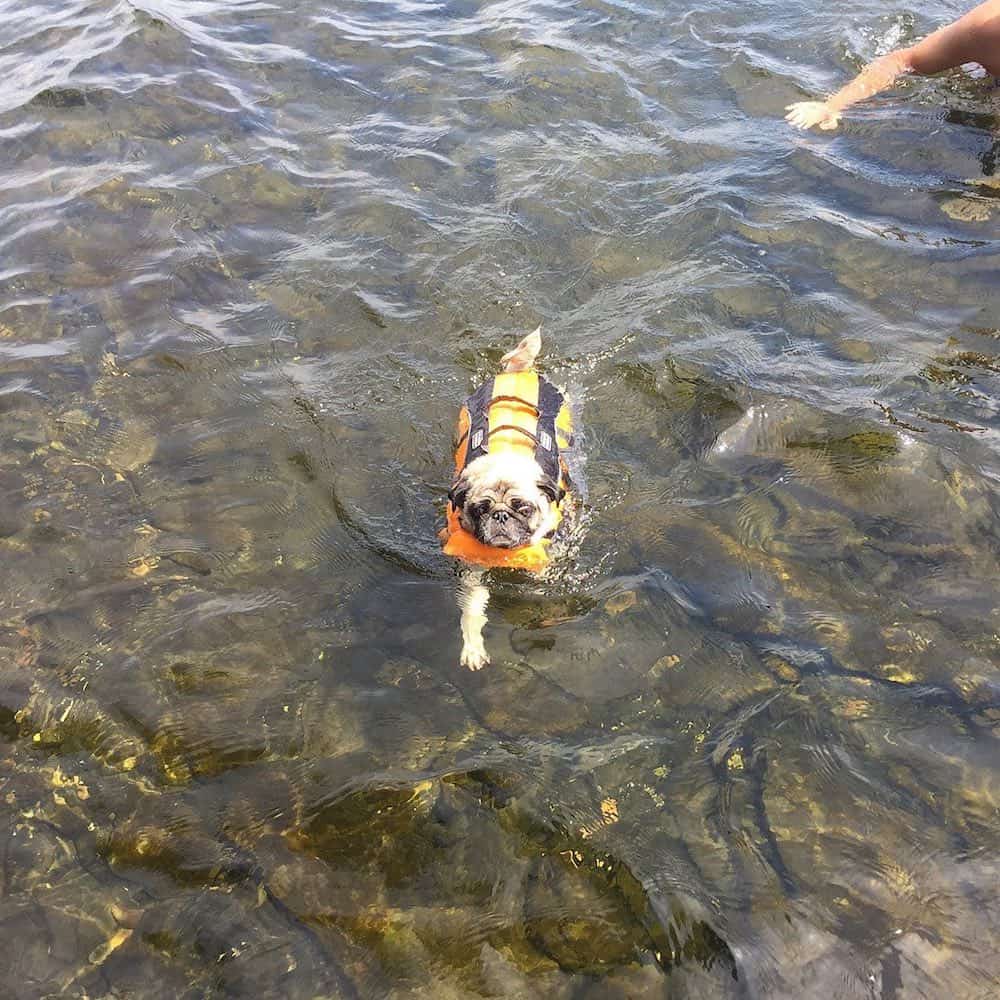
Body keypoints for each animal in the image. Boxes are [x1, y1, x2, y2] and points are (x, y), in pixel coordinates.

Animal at [442, 330, 576, 672]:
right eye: (480, 509)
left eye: (523, 508)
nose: (501, 516)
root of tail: (517, 372)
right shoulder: (471, 570)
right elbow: (472, 612)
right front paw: (473, 648)